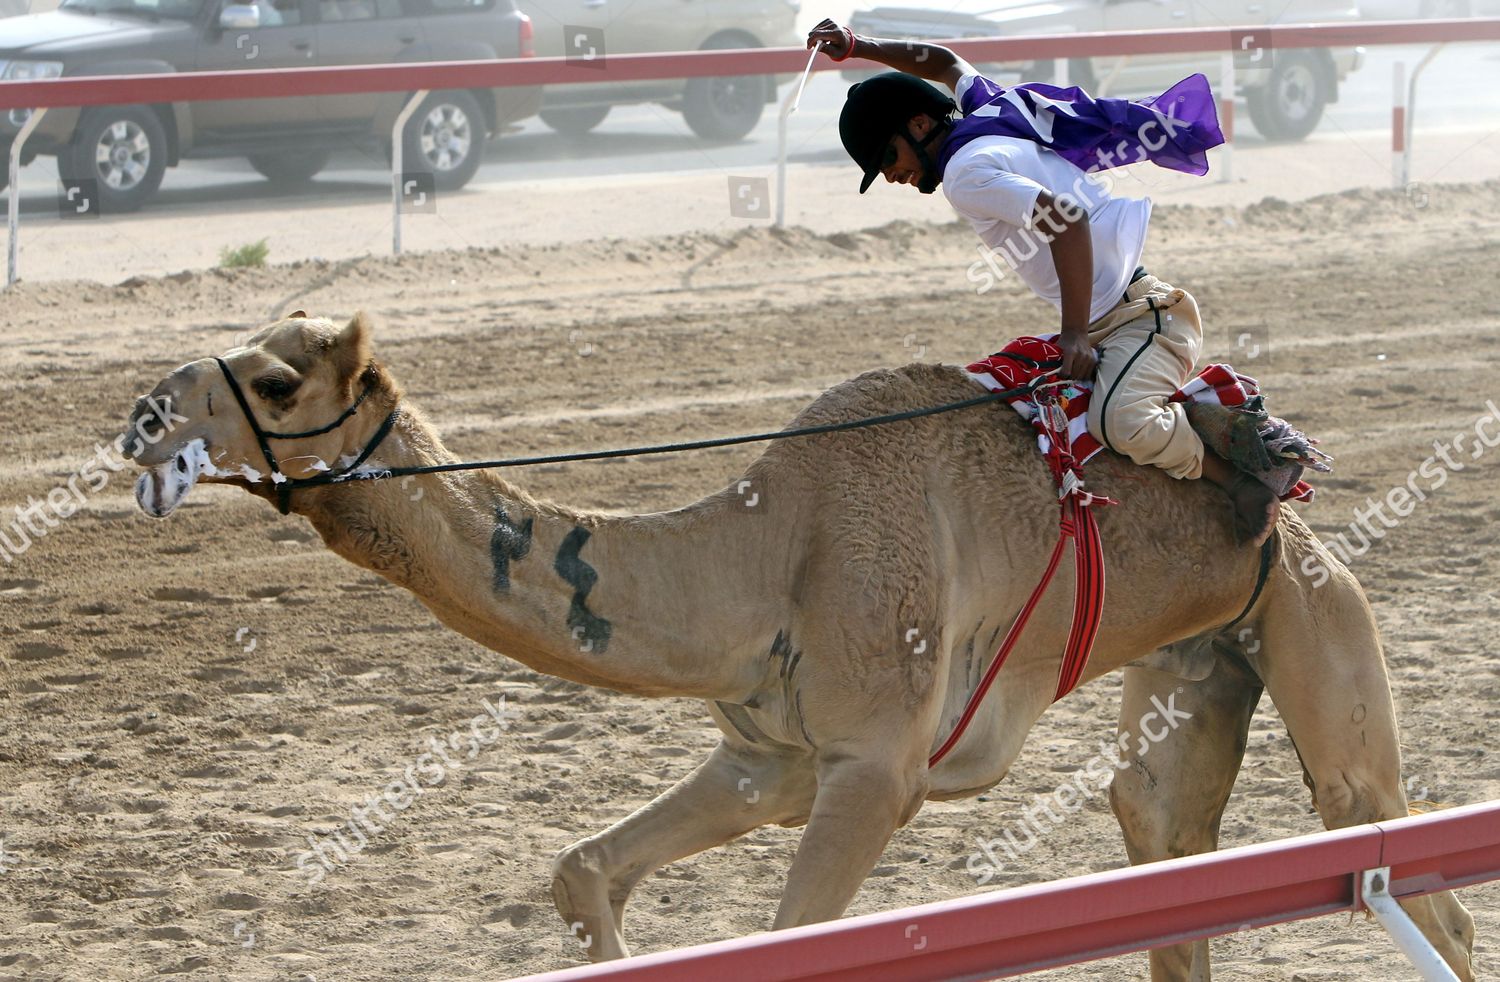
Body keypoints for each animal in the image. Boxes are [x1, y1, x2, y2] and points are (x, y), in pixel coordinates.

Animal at [120, 313, 1476, 977]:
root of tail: (1294, 505)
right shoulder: (767, 754)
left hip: (1321, 632)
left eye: (277, 381)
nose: (140, 417)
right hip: (1201, 660)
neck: (767, 548)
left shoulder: (879, 767)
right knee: (1159, 835)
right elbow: (584, 870)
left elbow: (792, 940)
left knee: (1401, 853)